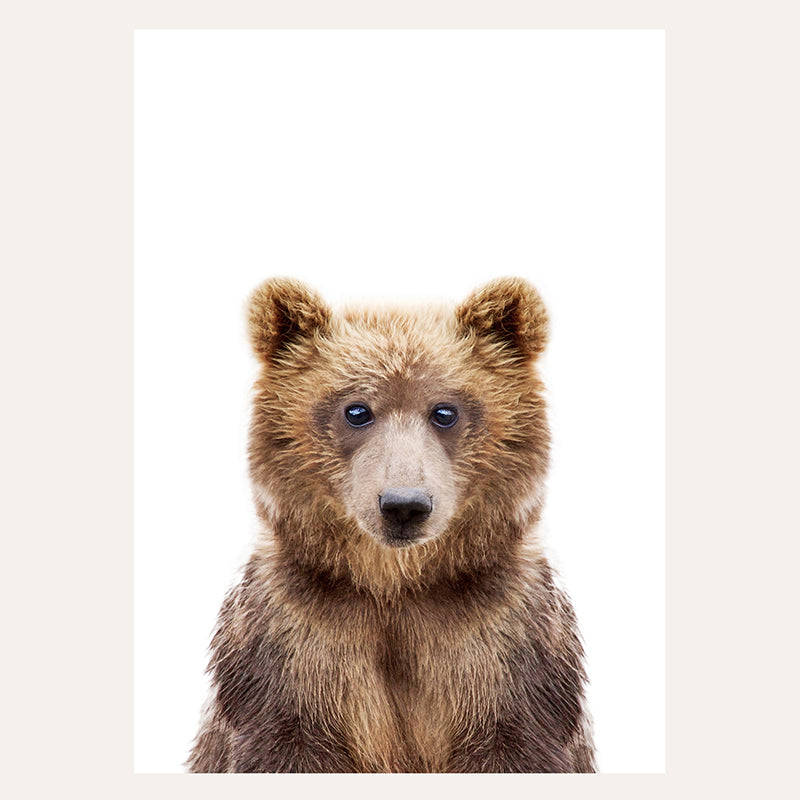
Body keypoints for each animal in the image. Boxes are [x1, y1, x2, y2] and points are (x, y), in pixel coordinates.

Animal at [186, 277, 596, 773]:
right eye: (356, 410)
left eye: (444, 411)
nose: (404, 505)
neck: (396, 585)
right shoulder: (291, 645)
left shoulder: (505, 644)